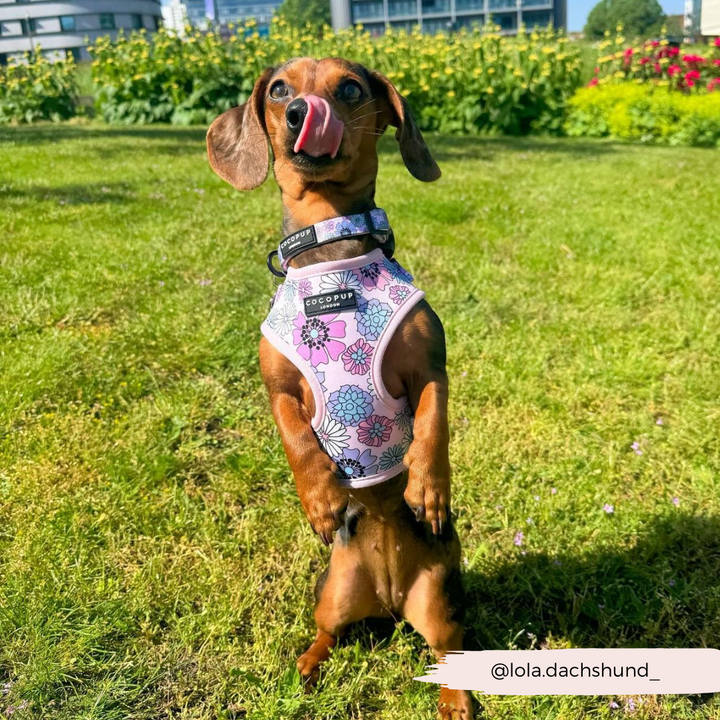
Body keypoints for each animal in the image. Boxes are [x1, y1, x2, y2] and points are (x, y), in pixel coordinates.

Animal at [207, 57, 472, 720]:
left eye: (350, 88)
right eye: (279, 89)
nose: (305, 112)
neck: (330, 251)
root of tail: (388, 600)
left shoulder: (431, 370)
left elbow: (432, 426)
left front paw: (429, 489)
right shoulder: (277, 388)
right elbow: (298, 439)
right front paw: (322, 499)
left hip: (439, 601)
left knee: (448, 650)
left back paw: (456, 698)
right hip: (332, 594)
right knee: (328, 631)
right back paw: (307, 664)